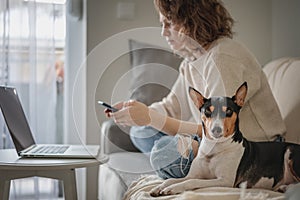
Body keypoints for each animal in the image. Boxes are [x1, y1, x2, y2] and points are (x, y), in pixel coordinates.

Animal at [150, 82, 300, 196]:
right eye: (207, 111)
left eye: (228, 111)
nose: (216, 130)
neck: (214, 148)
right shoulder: (192, 174)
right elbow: (171, 180)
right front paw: (159, 187)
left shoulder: (224, 181)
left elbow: (191, 182)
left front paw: (172, 189)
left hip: (290, 153)